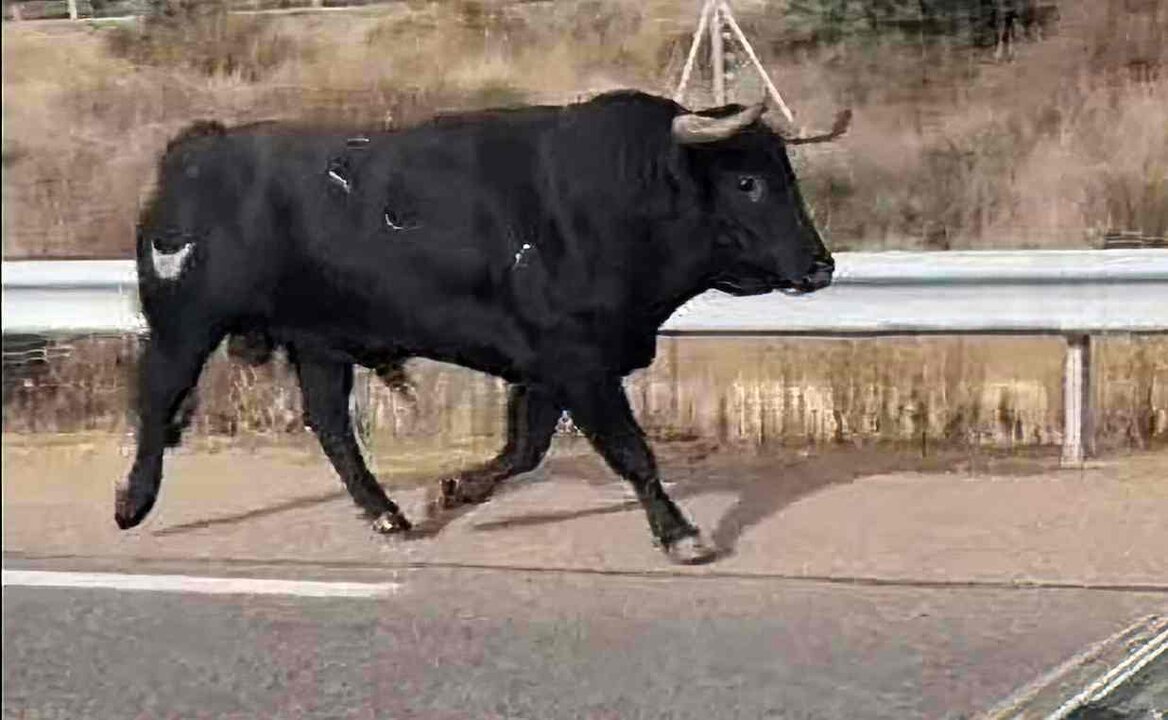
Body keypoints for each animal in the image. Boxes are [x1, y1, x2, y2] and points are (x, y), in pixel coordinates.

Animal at [120, 91, 840, 563]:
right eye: (747, 182)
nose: (820, 266)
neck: (606, 199)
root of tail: (200, 145)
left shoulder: (550, 369)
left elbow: (524, 448)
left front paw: (454, 491)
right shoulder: (579, 362)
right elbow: (630, 451)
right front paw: (680, 533)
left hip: (319, 342)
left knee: (330, 425)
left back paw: (387, 515)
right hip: (185, 324)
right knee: (157, 398)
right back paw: (133, 502)